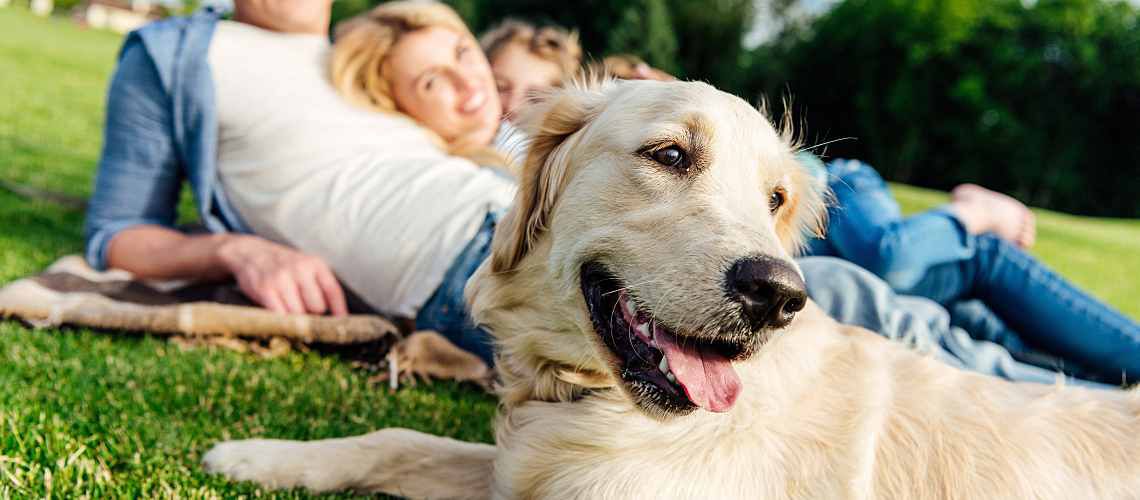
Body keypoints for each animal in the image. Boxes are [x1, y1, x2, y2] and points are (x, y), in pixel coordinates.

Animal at [202, 80, 1140, 498]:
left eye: (775, 199)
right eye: (670, 155)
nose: (779, 295)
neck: (593, 401)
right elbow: (396, 438)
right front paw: (260, 456)